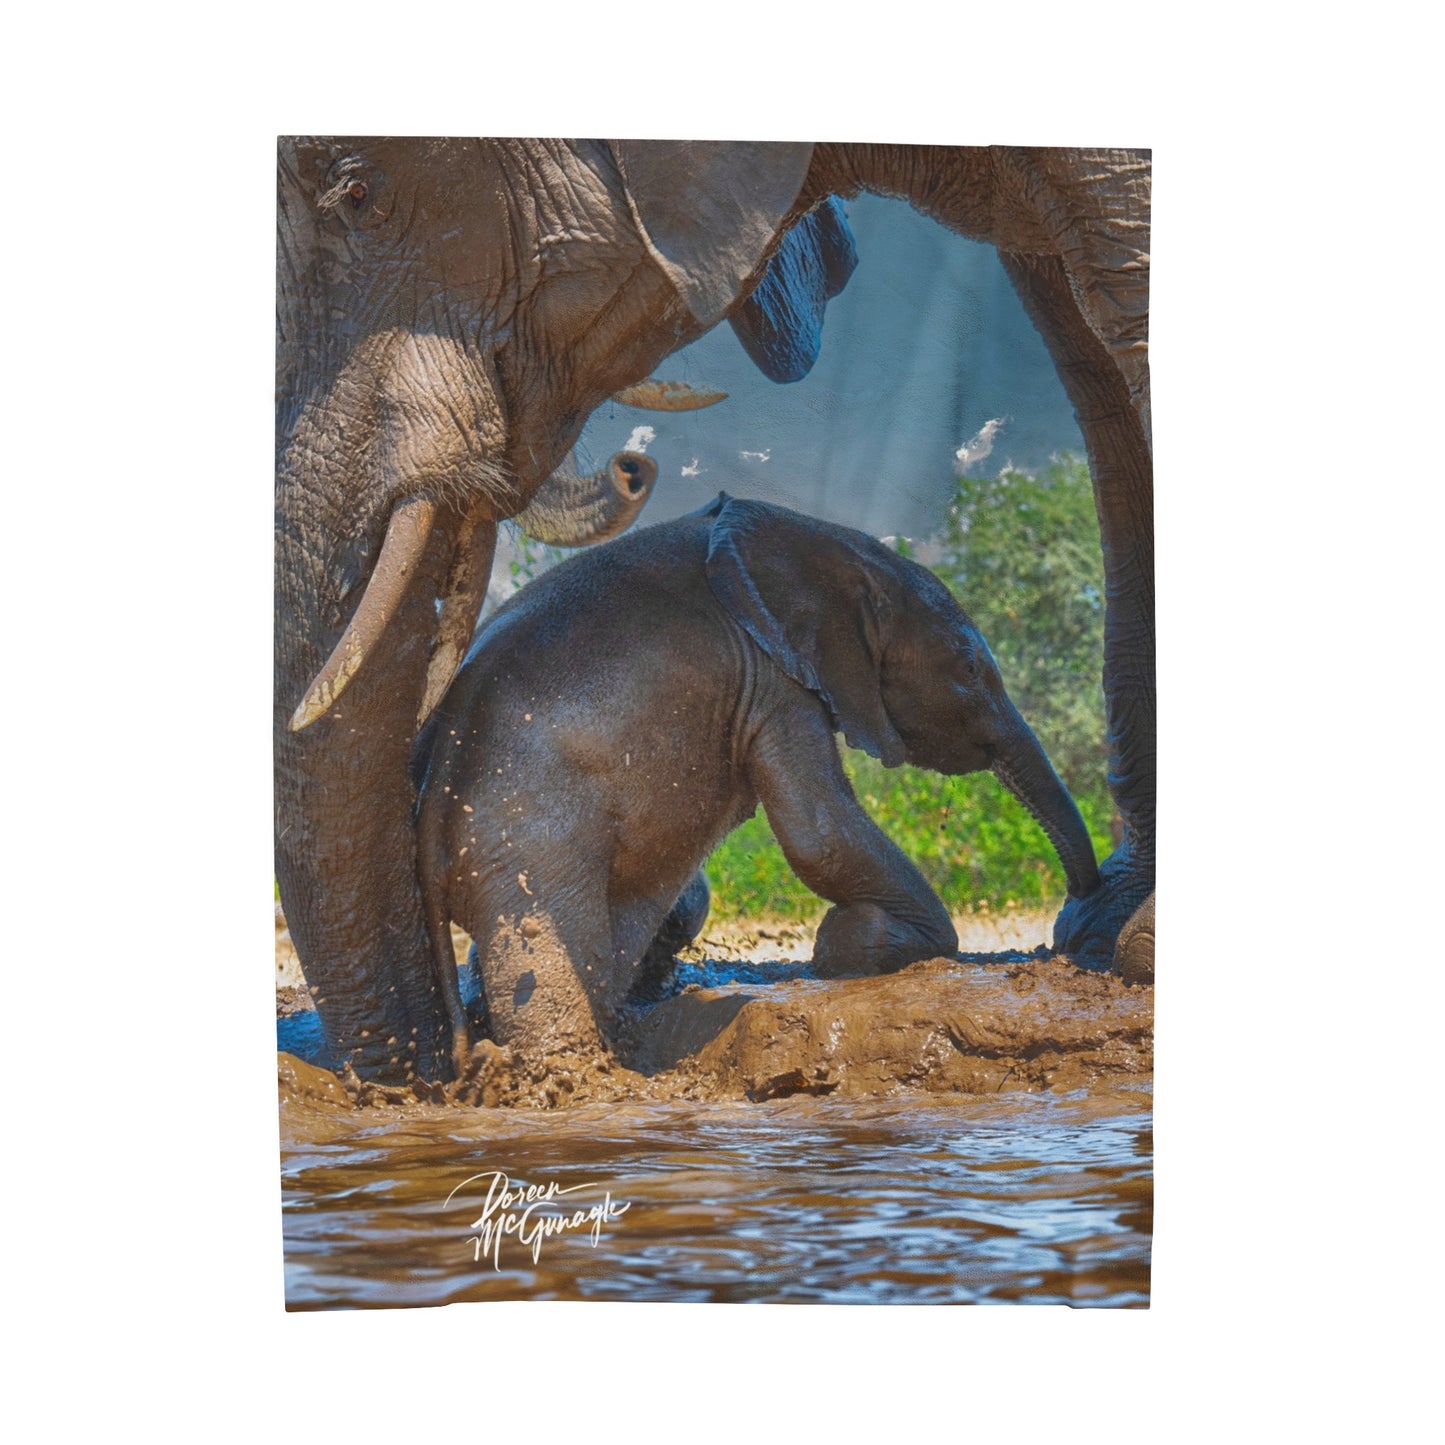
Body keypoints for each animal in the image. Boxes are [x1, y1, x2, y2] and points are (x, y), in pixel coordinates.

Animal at [415, 495, 1101, 1073]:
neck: (826, 545)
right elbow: (819, 830)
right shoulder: (774, 678)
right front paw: (865, 945)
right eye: (970, 668)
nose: (1077, 907)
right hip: (527, 845)